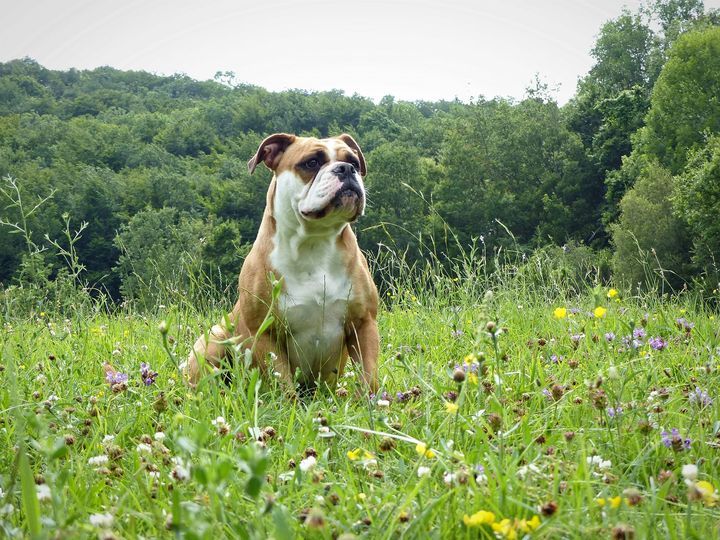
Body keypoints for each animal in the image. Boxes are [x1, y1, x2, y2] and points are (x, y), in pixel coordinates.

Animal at [183, 132, 380, 392]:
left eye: (354, 162)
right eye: (312, 163)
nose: (346, 169)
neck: (315, 241)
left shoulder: (363, 323)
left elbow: (369, 376)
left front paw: (372, 401)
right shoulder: (267, 333)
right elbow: (284, 384)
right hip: (214, 339)